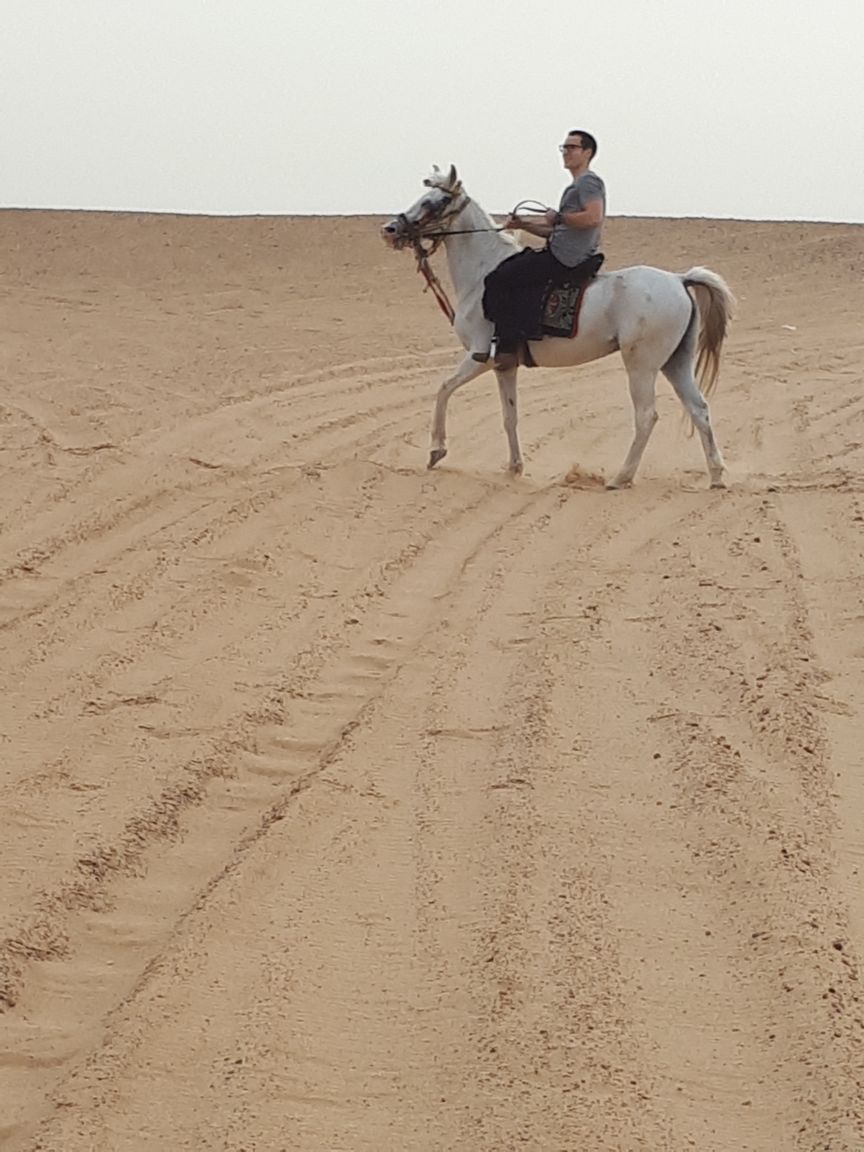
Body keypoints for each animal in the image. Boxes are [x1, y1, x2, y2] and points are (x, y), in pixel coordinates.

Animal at [381, 165, 736, 489]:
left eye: (435, 201)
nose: (390, 228)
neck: (482, 274)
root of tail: (678, 279)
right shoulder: (505, 365)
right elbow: (509, 416)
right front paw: (514, 467)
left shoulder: (481, 356)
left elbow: (443, 388)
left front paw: (436, 451)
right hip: (675, 362)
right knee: (699, 409)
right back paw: (716, 476)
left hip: (642, 365)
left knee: (647, 416)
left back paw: (621, 477)